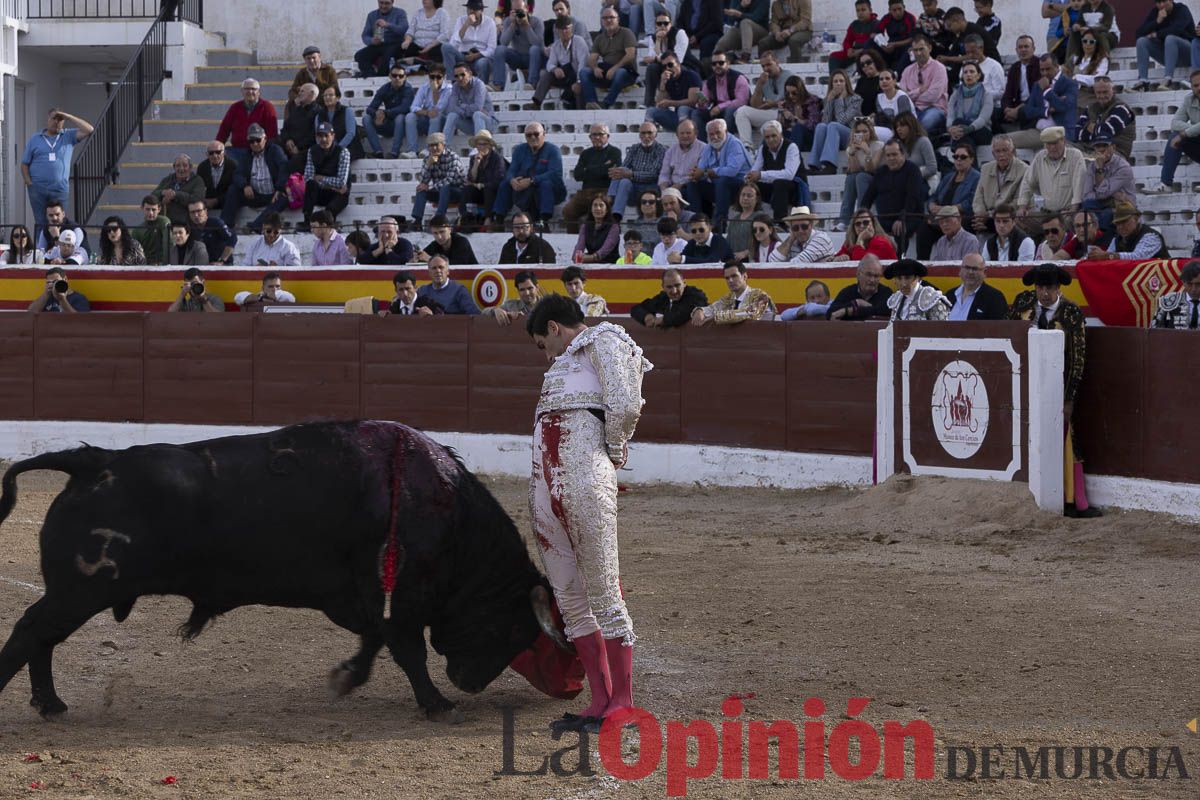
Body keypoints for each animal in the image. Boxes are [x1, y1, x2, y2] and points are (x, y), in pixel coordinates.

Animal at [0, 422, 571, 724]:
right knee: (30, 630)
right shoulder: (396, 600)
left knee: (41, 637)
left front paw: (347, 678)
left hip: (76, 593)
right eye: (513, 626)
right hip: (80, 590)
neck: (444, 510)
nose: (469, 683)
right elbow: (407, 649)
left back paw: (50, 704)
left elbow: (373, 642)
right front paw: (436, 703)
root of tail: (93, 460)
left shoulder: (364, 599)